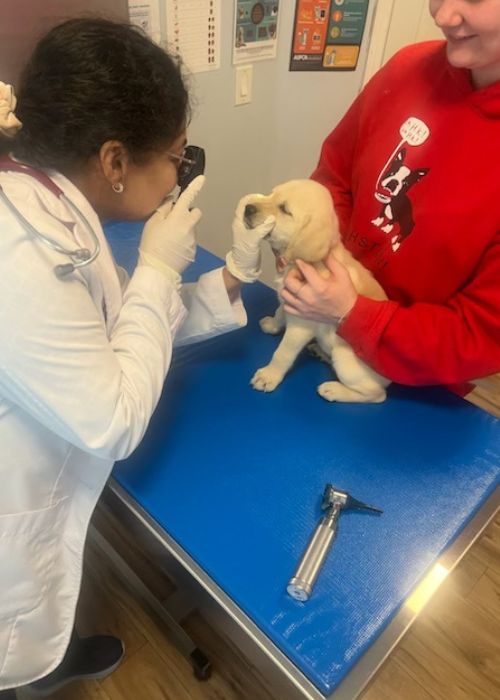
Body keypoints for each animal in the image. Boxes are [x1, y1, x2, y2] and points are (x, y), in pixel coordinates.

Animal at [244, 178, 388, 402]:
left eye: (284, 209)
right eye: (271, 194)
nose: (247, 208)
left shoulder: (301, 325)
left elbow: (283, 353)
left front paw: (269, 376)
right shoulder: (289, 300)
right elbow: (279, 312)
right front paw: (273, 325)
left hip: (345, 360)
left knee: (377, 395)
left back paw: (334, 389)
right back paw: (320, 351)